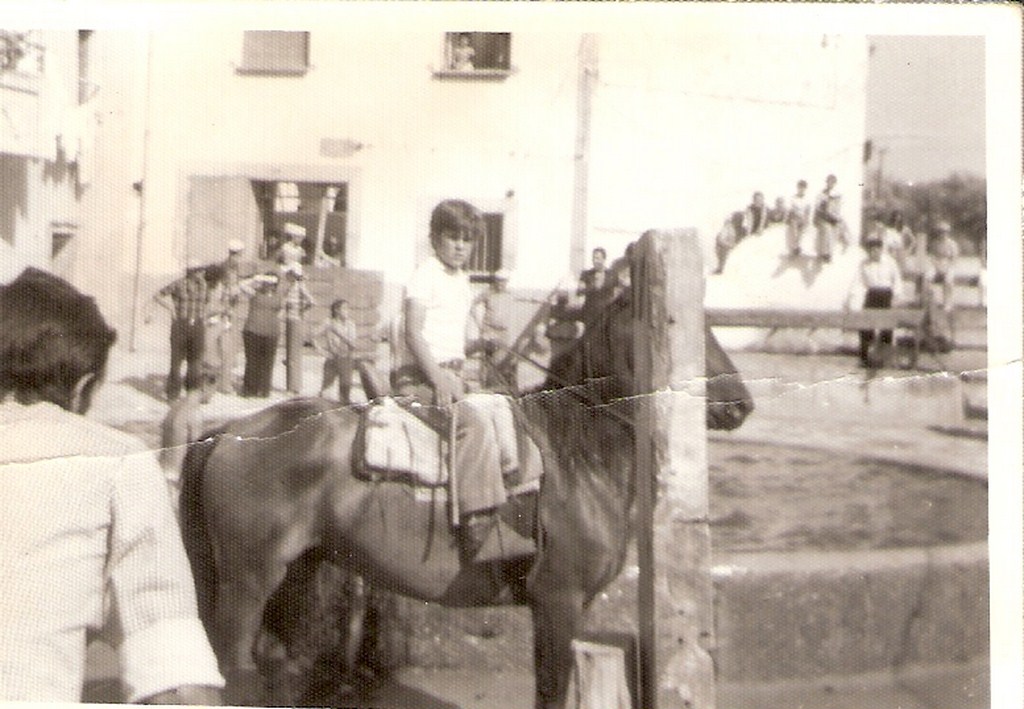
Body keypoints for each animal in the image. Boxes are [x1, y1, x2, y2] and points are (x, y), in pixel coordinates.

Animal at [179, 287, 752, 709]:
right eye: (679, 330)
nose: (741, 404)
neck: (575, 459)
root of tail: (226, 432)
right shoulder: (558, 600)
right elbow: (550, 692)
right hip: (247, 582)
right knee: (232, 671)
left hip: (293, 576)